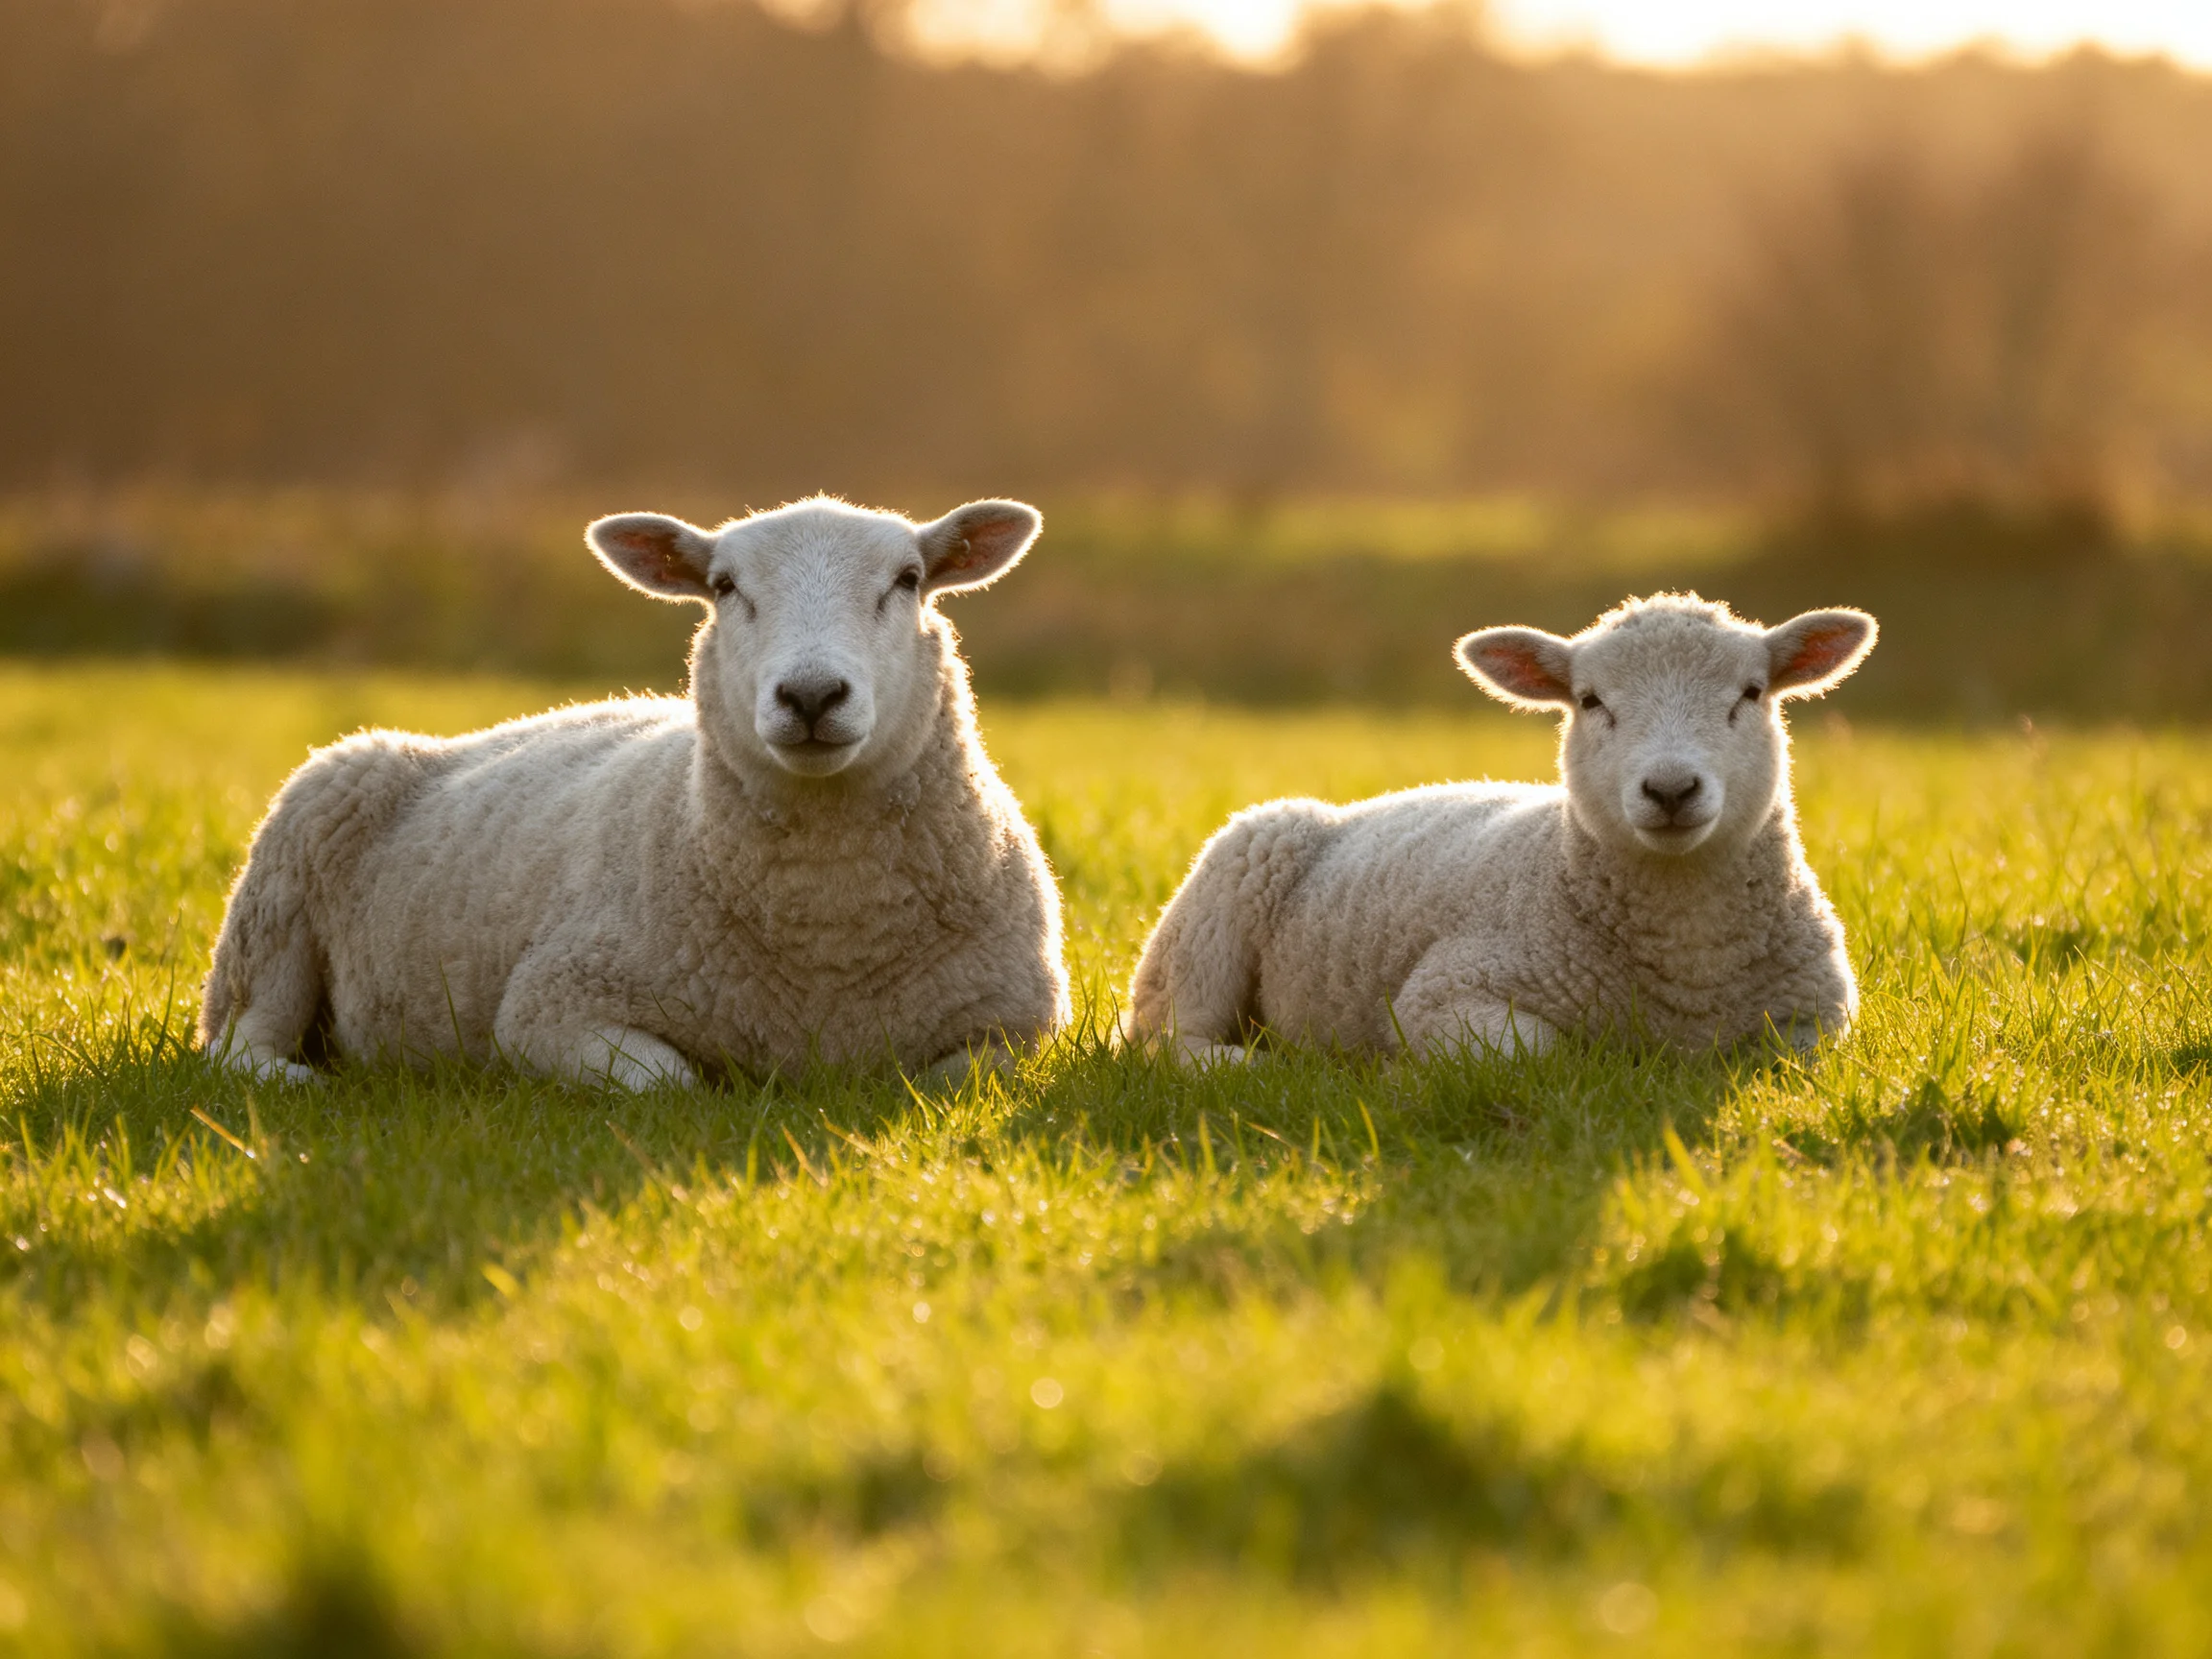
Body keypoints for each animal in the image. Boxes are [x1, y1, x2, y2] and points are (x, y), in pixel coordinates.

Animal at [198, 496, 1071, 1089]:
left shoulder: (1018, 1028)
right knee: (238, 1044)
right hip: (275, 904)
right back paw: (309, 1082)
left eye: (909, 579)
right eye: (724, 586)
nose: (811, 695)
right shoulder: (552, 1004)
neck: (829, 947)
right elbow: (672, 1083)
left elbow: (956, 1082)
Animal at [1126, 593, 1876, 1061]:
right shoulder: (1445, 991)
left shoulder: (1819, 1018)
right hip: (1216, 903)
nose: (1670, 789)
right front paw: (1391, 1067)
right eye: (1590, 701)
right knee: (1166, 1039)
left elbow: (1788, 1053)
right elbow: (1540, 1053)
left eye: (1751, 693)